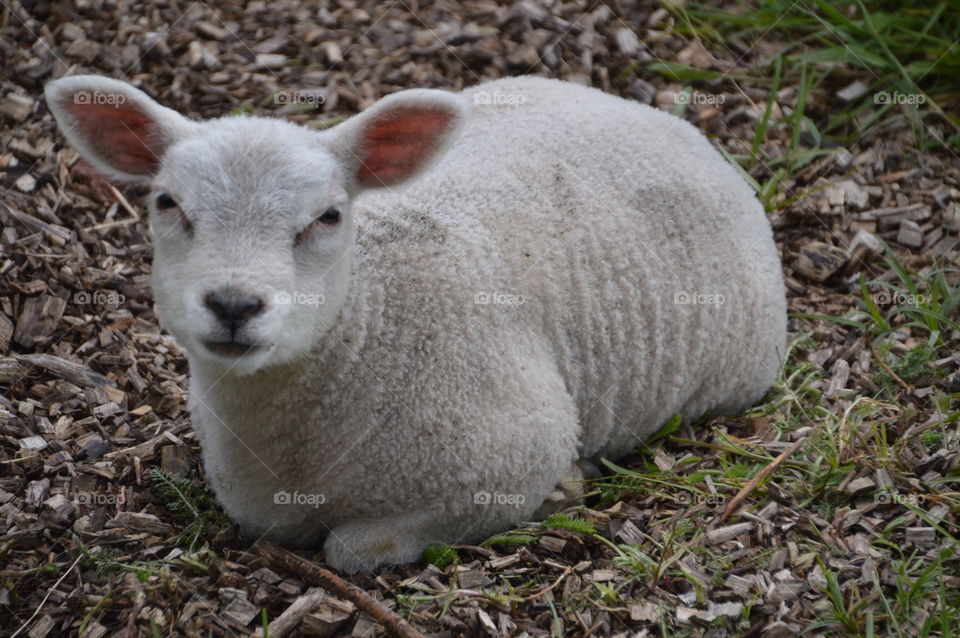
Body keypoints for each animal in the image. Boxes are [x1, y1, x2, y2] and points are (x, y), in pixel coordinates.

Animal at [45, 74, 786, 573]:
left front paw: (567, 488)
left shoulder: (509, 458)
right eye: (167, 203)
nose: (233, 304)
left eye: (329, 216)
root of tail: (669, 122)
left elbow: (352, 549)